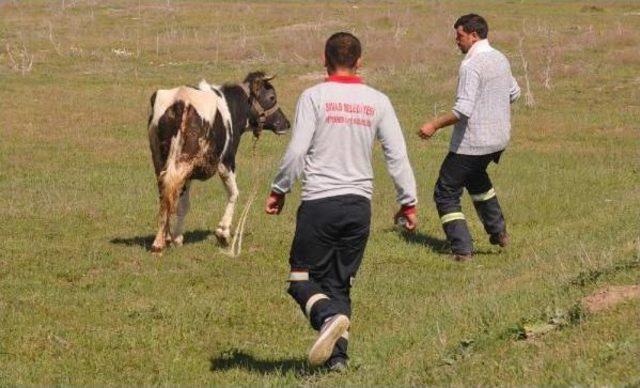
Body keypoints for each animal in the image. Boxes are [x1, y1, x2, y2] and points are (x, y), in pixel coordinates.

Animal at [148, 72, 290, 255]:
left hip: (161, 159)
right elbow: (234, 193)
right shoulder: (227, 161)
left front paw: (177, 237)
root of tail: (181, 98)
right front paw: (223, 232)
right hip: (184, 160)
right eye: (272, 97)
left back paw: (162, 239)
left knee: (166, 191)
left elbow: (183, 204)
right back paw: (159, 242)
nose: (286, 123)